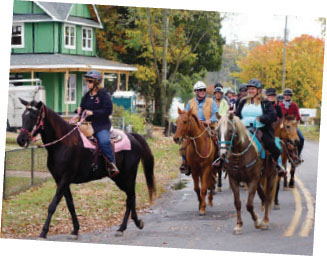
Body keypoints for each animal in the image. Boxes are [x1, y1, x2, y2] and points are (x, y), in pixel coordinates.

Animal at [16, 99, 157, 239]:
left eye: (33, 116)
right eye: (23, 116)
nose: (21, 140)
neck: (64, 143)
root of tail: (132, 136)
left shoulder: (64, 179)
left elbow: (52, 205)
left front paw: (44, 232)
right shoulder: (61, 180)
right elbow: (70, 204)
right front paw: (75, 230)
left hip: (127, 175)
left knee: (130, 197)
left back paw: (123, 228)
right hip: (119, 178)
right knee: (130, 196)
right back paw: (135, 222)